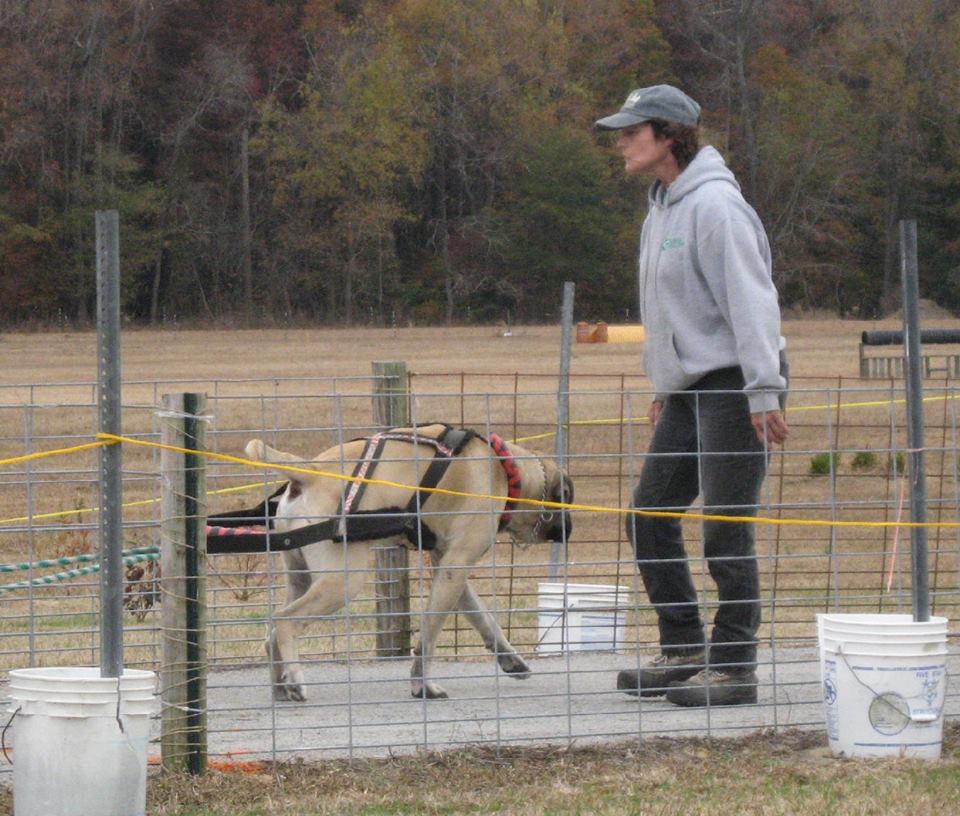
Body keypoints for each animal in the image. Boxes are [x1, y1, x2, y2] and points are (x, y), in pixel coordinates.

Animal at [244, 424, 568, 700]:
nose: (568, 531)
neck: (505, 469)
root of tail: (310, 472)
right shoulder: (455, 567)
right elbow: (428, 636)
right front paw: (422, 684)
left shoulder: (448, 568)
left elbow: (483, 618)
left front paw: (509, 657)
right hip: (342, 581)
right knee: (285, 621)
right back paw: (296, 681)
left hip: (300, 575)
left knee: (272, 635)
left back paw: (281, 687)